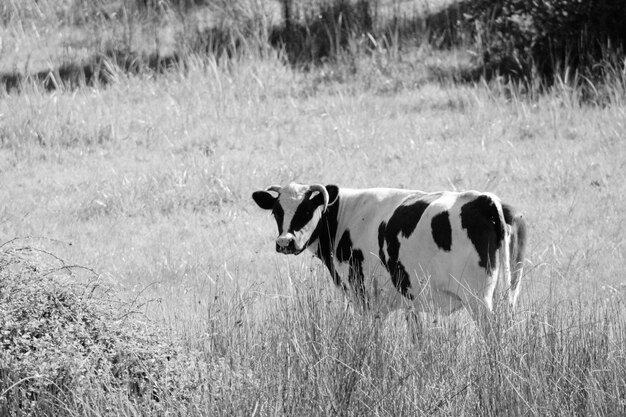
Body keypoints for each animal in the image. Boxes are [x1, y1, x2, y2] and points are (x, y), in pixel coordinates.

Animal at [251, 180, 524, 320]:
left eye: (307, 211)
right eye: (277, 212)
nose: (284, 242)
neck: (345, 214)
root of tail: (485, 200)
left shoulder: (364, 298)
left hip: (478, 299)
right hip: (509, 293)